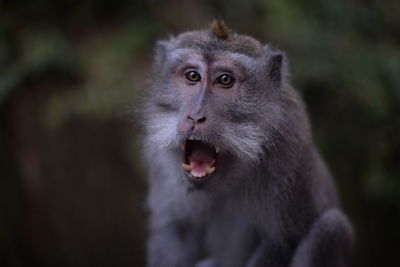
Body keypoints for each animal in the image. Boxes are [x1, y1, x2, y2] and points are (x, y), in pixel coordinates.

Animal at [143, 19, 354, 267]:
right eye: (192, 76)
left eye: (225, 80)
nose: (195, 116)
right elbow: (177, 228)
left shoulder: (288, 143)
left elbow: (280, 241)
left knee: (331, 228)